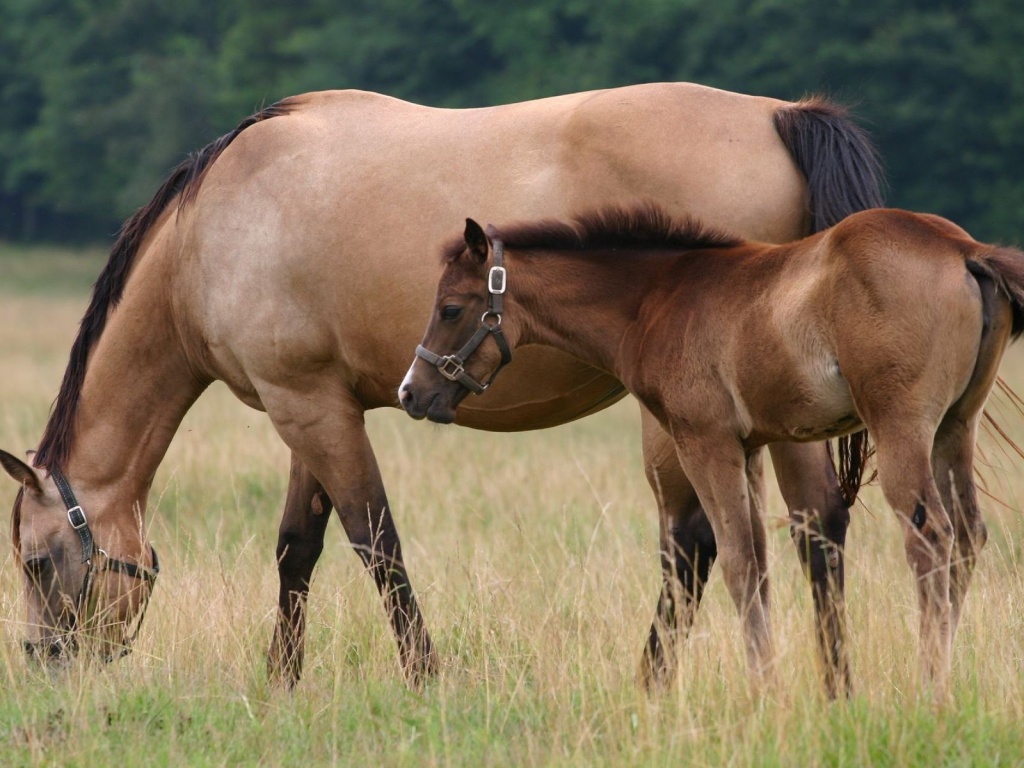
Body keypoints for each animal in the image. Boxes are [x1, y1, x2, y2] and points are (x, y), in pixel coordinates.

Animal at [0, 82, 880, 692]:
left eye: (37, 563)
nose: (46, 663)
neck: (210, 233)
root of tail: (781, 115)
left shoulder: (307, 408)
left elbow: (374, 541)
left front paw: (424, 674)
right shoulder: (313, 405)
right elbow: (297, 546)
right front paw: (280, 678)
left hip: (689, 421)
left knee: (697, 543)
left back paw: (655, 683)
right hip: (776, 415)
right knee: (814, 528)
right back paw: (832, 684)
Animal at [399, 207, 1024, 700]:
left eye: (451, 308)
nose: (411, 392)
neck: (655, 299)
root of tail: (964, 250)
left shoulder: (704, 443)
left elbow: (738, 562)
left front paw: (764, 692)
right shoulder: (747, 450)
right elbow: (761, 565)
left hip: (901, 429)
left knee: (931, 537)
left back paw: (930, 687)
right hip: (954, 429)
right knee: (969, 536)